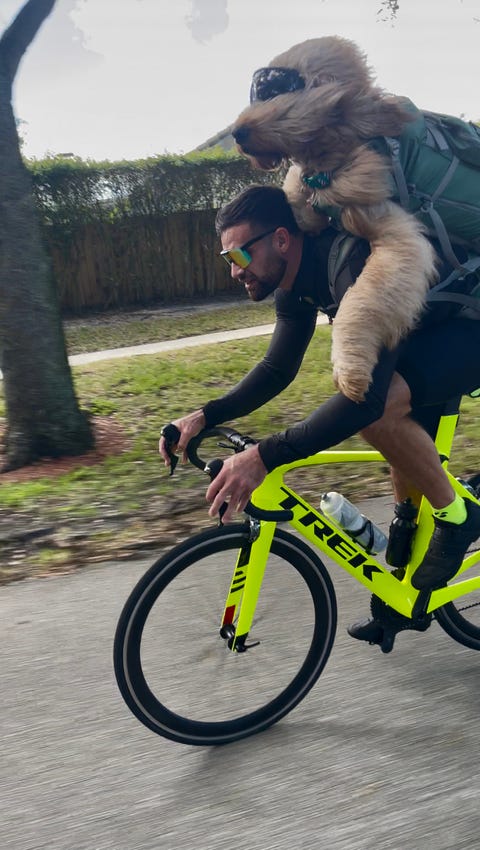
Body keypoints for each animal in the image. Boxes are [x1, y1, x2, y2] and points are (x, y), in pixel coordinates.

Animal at [231, 36, 440, 400]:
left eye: (278, 90)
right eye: (259, 90)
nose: (237, 133)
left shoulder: (396, 235)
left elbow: (365, 297)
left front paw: (350, 370)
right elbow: (299, 198)